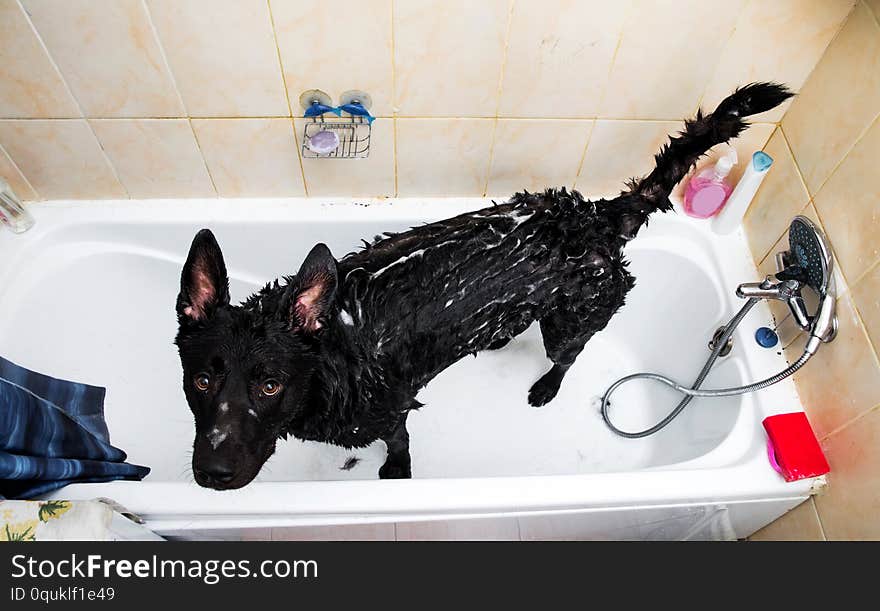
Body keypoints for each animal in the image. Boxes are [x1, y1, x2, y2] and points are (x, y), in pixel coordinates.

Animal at [177, 82, 792, 492]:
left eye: (270, 385)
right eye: (202, 380)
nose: (212, 474)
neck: (335, 357)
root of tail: (596, 216)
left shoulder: (391, 412)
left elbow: (398, 442)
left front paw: (396, 471)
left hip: (575, 318)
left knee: (568, 356)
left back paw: (546, 385)